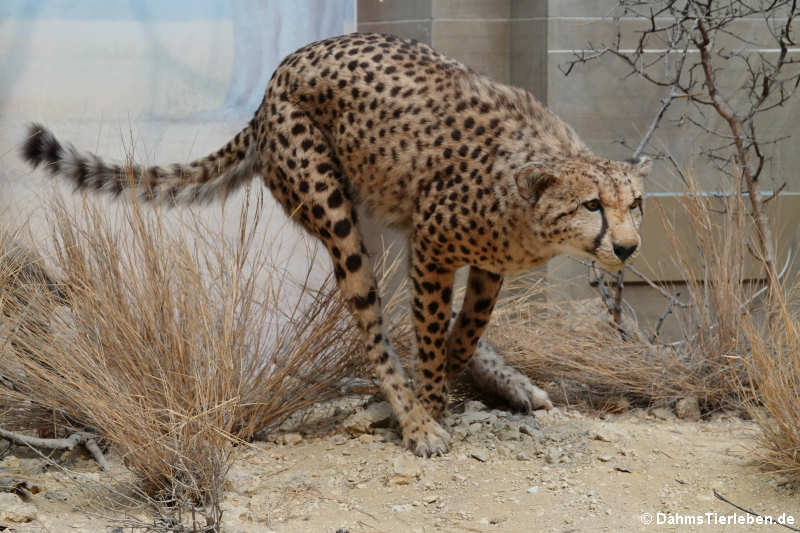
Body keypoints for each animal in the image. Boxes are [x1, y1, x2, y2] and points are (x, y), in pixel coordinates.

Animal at [20, 33, 648, 458]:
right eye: (592, 205)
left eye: (635, 202)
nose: (627, 248)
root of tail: (272, 84)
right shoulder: (431, 247)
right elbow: (430, 334)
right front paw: (431, 406)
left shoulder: (487, 265)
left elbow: (468, 328)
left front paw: (467, 371)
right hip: (334, 212)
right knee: (370, 322)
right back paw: (414, 421)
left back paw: (508, 386)